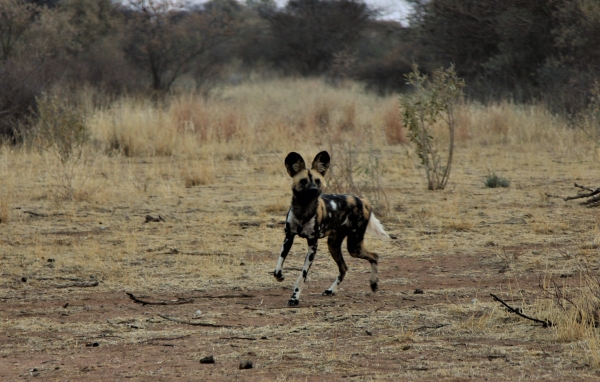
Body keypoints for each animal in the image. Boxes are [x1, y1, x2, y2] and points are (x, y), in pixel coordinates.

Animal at [274, 151, 390, 306]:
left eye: (317, 180)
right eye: (303, 181)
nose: (314, 190)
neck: (303, 210)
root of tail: (363, 201)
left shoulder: (312, 245)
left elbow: (302, 276)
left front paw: (295, 297)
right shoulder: (288, 237)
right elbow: (278, 267)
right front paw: (280, 277)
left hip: (354, 247)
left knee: (374, 256)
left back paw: (373, 283)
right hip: (334, 245)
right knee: (344, 268)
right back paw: (331, 290)